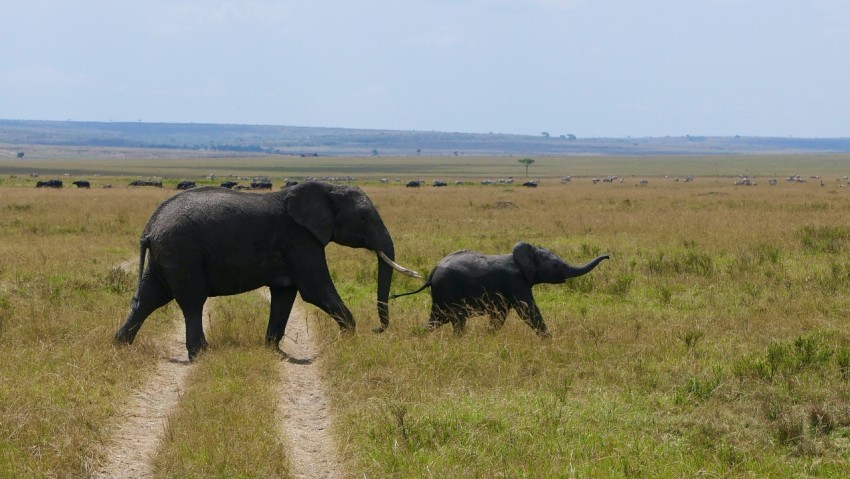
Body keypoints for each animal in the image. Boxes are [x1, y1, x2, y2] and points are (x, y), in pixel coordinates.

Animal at [114, 183, 420, 360]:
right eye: (364, 218)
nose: (377, 329)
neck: (327, 187)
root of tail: (150, 227)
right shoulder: (299, 239)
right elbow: (315, 290)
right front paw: (348, 341)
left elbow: (285, 294)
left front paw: (273, 350)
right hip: (182, 253)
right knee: (191, 302)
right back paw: (202, 354)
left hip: (165, 256)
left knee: (149, 298)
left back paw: (121, 346)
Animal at [394, 240, 608, 338]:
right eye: (555, 266)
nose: (608, 256)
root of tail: (432, 273)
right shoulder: (515, 282)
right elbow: (528, 311)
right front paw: (549, 341)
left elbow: (500, 315)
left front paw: (489, 336)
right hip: (448, 290)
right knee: (455, 321)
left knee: (438, 320)